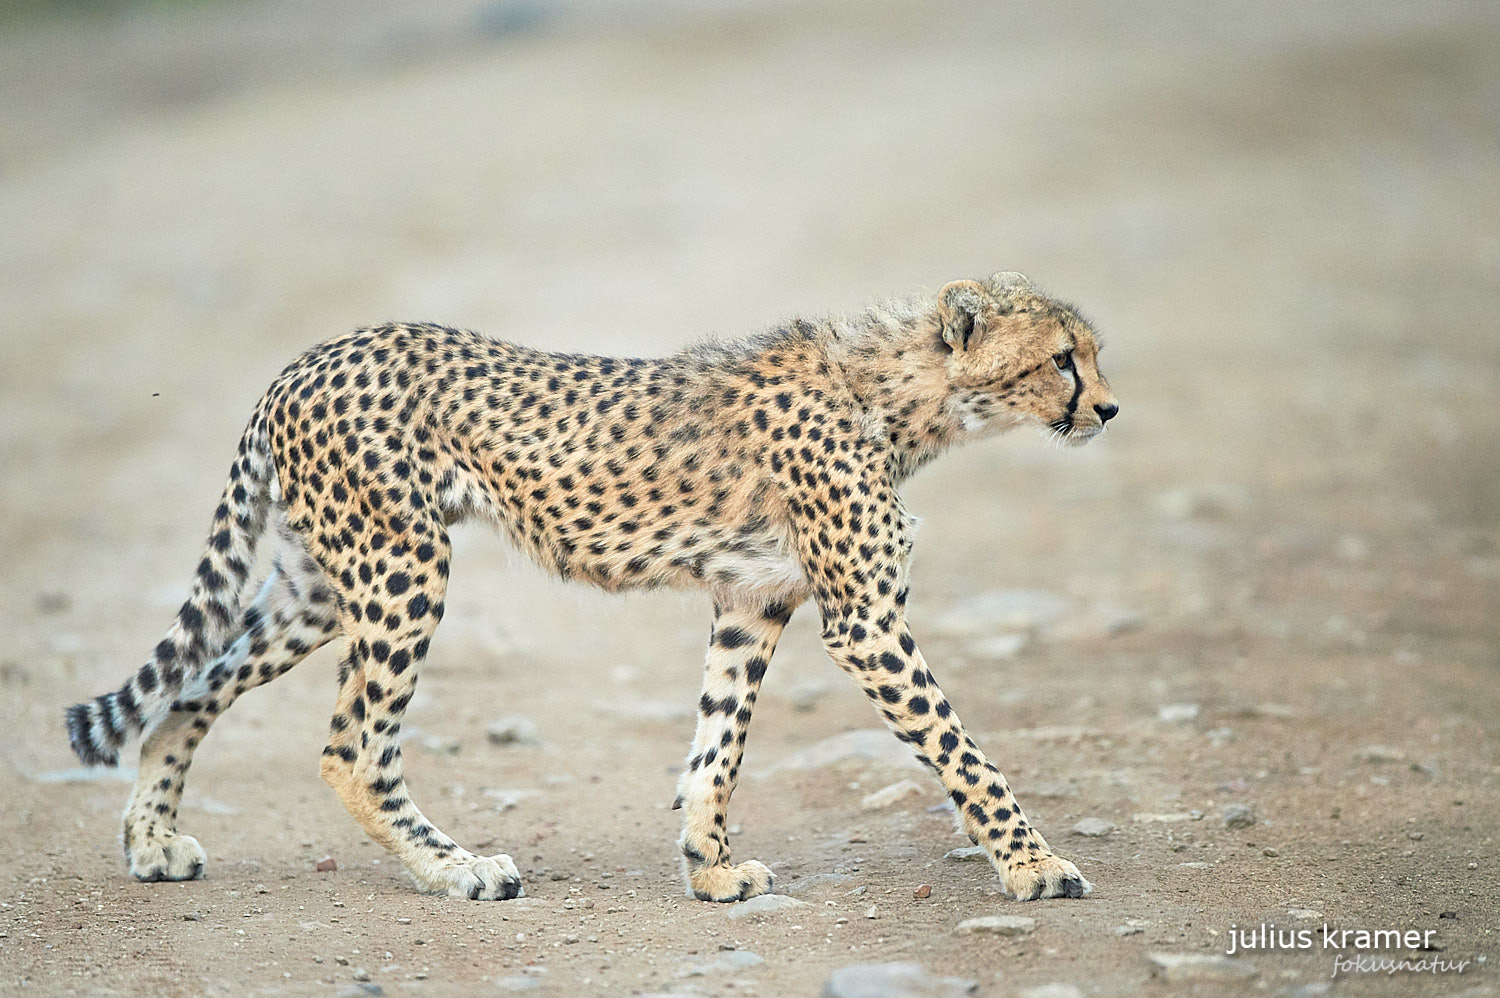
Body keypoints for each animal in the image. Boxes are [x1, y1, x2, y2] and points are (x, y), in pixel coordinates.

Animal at [70, 273, 1122, 900]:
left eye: (1091, 353)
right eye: (1062, 358)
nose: (1110, 408)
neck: (904, 399)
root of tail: (305, 361)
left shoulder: (752, 604)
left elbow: (717, 747)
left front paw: (709, 870)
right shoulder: (862, 620)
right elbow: (963, 751)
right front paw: (1034, 865)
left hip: (318, 588)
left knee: (190, 690)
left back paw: (153, 843)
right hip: (403, 570)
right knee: (352, 749)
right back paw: (456, 870)